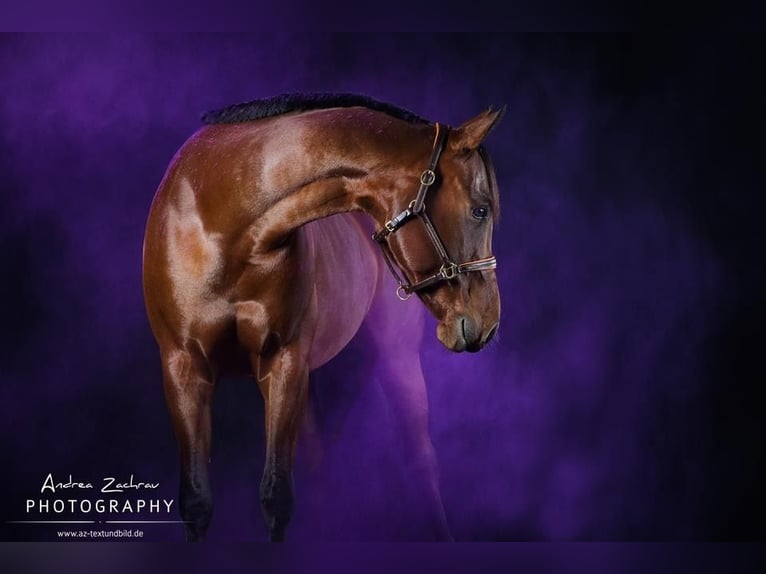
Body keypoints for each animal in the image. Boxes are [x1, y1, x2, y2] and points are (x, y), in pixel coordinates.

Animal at [142, 93, 504, 541]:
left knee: (419, 459)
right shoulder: (183, 367)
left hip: (393, 362)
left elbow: (276, 495)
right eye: (480, 210)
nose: (488, 322)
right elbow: (197, 500)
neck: (224, 219)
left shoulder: (284, 362)